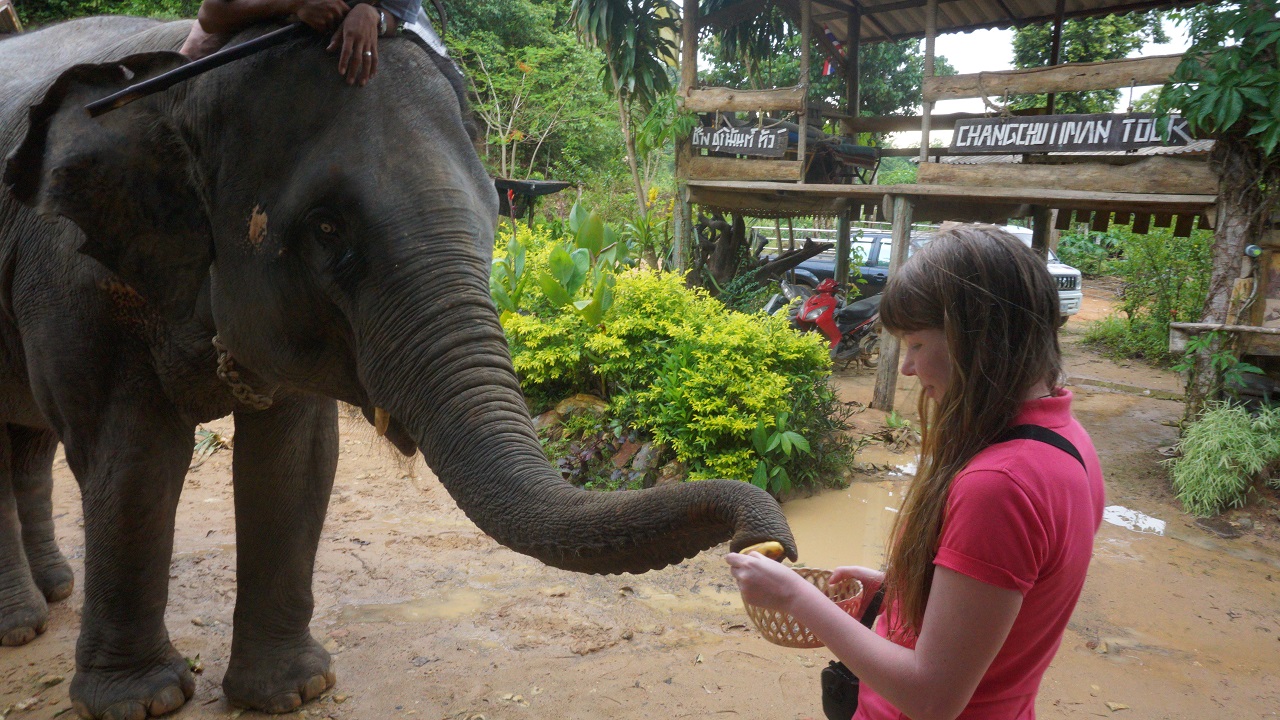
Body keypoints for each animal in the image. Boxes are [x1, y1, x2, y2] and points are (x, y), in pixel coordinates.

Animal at [0, 15, 793, 717]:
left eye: (494, 213)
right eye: (326, 227)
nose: (768, 545)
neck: (180, 91)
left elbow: (296, 462)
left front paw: (291, 693)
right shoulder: (70, 285)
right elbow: (130, 460)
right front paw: (143, 703)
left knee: (27, 447)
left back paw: (55, 591)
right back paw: (24, 624)